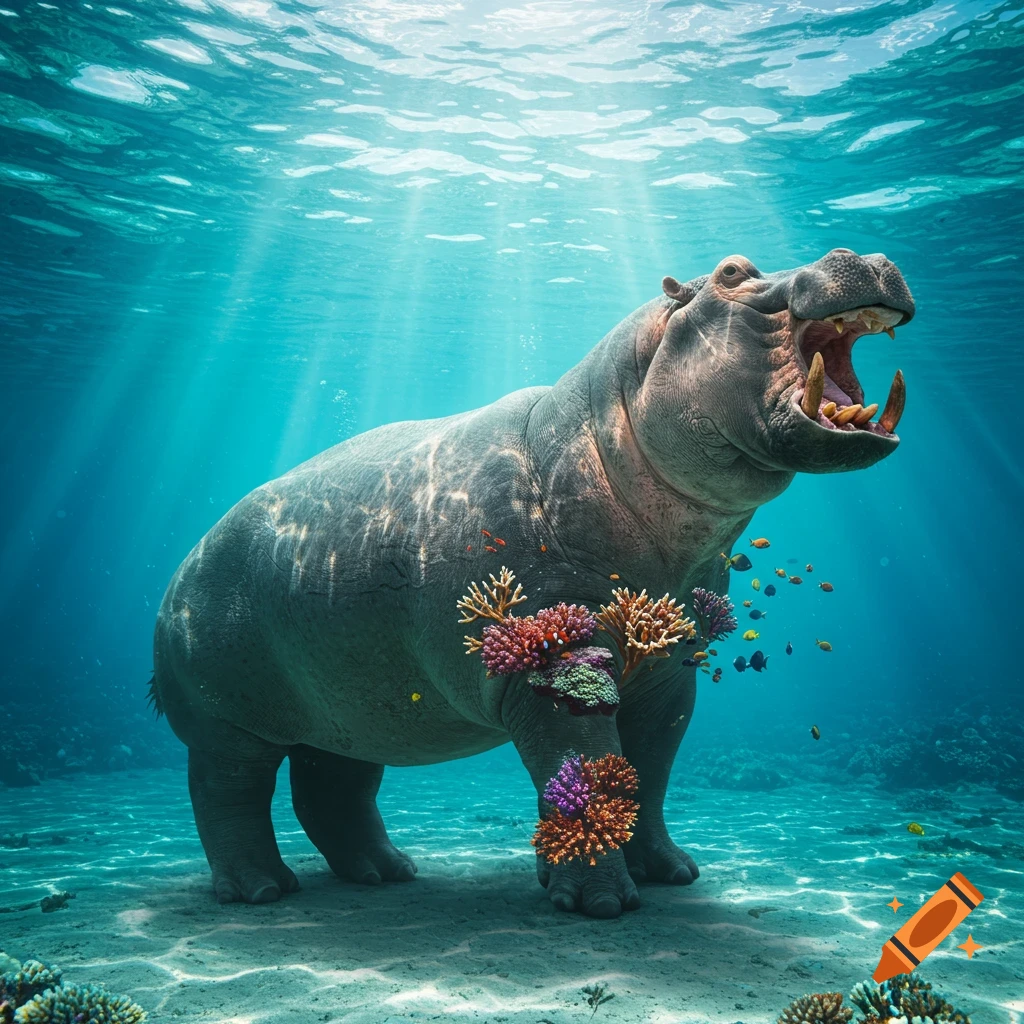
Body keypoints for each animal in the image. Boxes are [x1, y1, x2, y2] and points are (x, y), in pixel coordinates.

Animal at [152, 249, 913, 918]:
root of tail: (177, 573)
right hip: (225, 718)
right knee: (227, 793)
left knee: (333, 785)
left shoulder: (670, 672)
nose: (866, 256)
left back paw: (388, 873)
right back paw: (261, 891)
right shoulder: (549, 661)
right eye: (731, 272)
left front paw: (671, 873)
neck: (610, 426)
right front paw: (603, 904)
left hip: (352, 704)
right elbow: (585, 767)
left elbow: (650, 771)